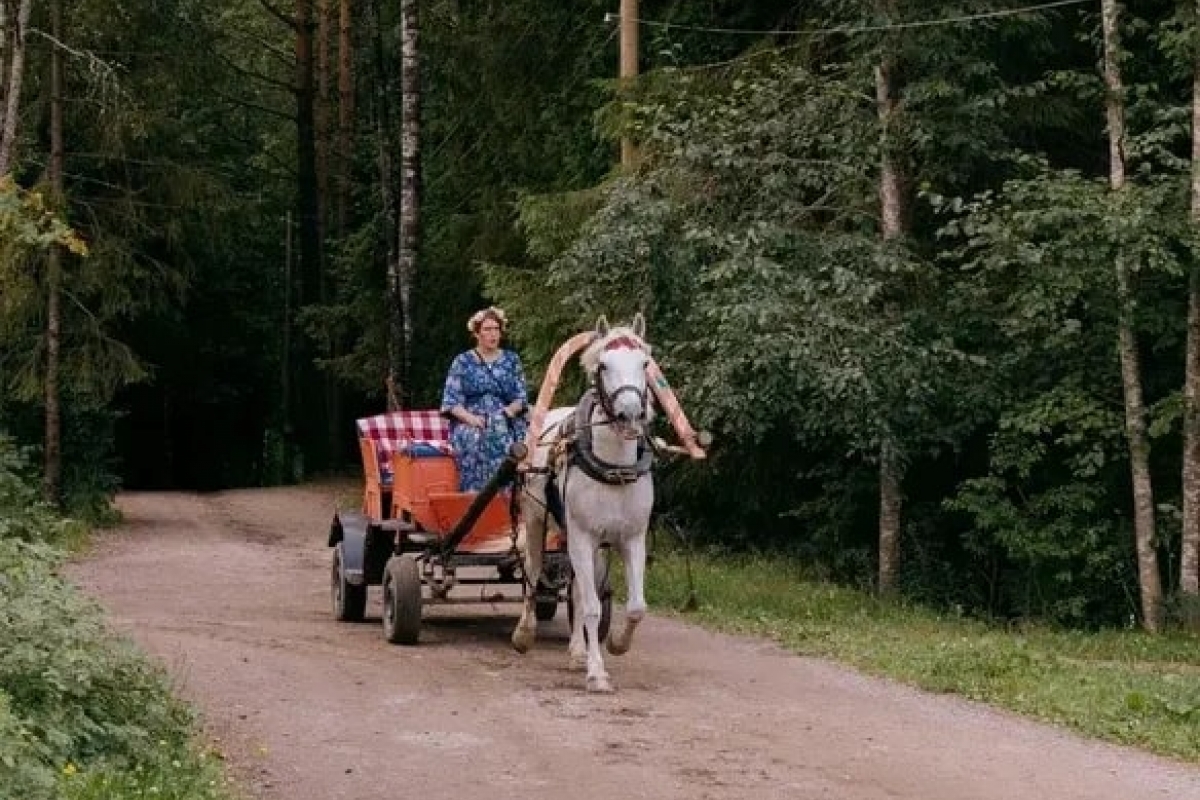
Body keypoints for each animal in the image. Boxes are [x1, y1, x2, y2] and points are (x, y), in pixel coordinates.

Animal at [508, 316, 657, 690]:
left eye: (645, 364)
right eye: (603, 365)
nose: (630, 413)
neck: (614, 468)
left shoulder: (631, 538)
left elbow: (636, 606)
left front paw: (615, 644)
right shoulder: (581, 535)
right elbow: (591, 606)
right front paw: (597, 673)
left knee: (575, 586)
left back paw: (576, 650)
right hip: (538, 520)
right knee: (533, 573)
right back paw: (524, 633)